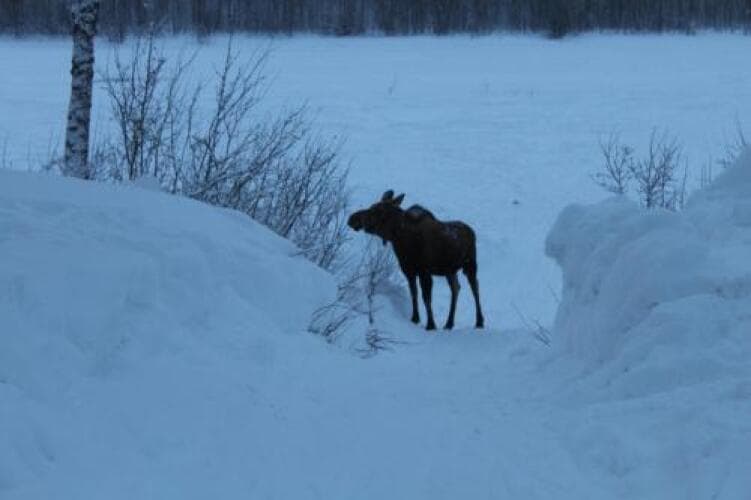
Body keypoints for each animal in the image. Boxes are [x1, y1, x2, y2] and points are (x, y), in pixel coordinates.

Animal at [348, 191, 484, 332]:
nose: (352, 218)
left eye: (377, 210)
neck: (401, 240)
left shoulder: (425, 272)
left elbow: (426, 298)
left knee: (475, 287)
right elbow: (414, 294)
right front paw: (415, 318)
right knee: (456, 288)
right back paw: (449, 323)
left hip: (470, 264)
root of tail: (472, 231)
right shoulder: (409, 271)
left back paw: (479, 322)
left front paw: (431, 325)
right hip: (450, 271)